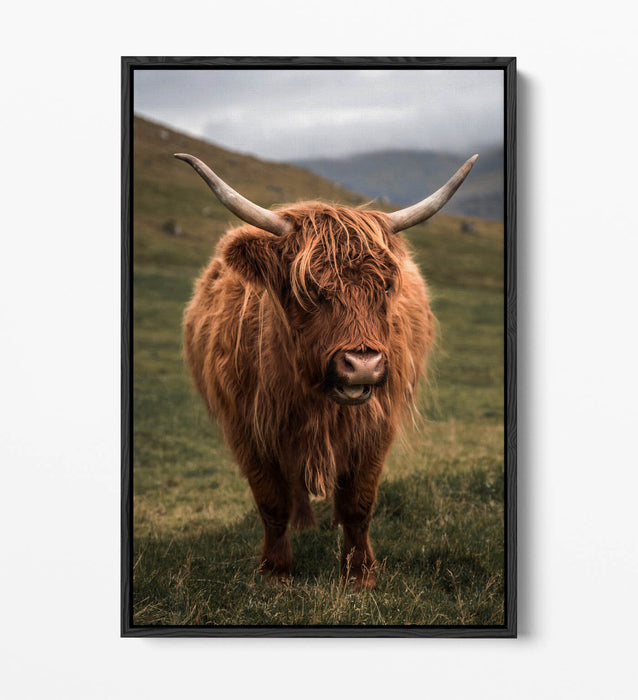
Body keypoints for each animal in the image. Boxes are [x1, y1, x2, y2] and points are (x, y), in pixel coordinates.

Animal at [176, 152, 477, 588]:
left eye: (386, 287)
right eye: (309, 290)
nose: (363, 365)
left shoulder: (376, 426)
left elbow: (358, 503)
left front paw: (360, 573)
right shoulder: (247, 427)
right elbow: (271, 502)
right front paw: (276, 571)